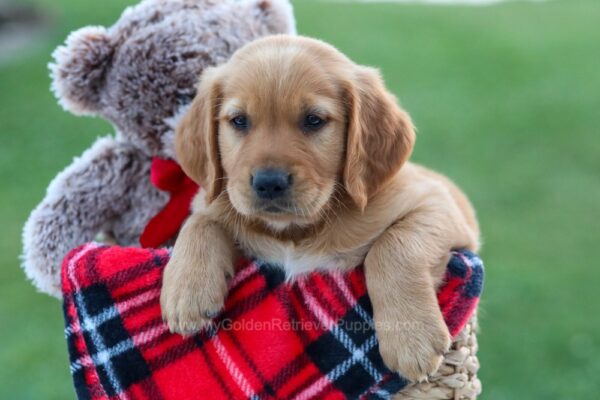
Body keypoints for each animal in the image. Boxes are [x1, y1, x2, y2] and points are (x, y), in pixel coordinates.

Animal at [159, 35, 478, 382]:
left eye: (313, 120)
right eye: (239, 121)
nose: (269, 183)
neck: (297, 230)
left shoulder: (438, 203)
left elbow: (394, 245)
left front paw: (411, 337)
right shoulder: (217, 205)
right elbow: (199, 222)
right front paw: (185, 291)